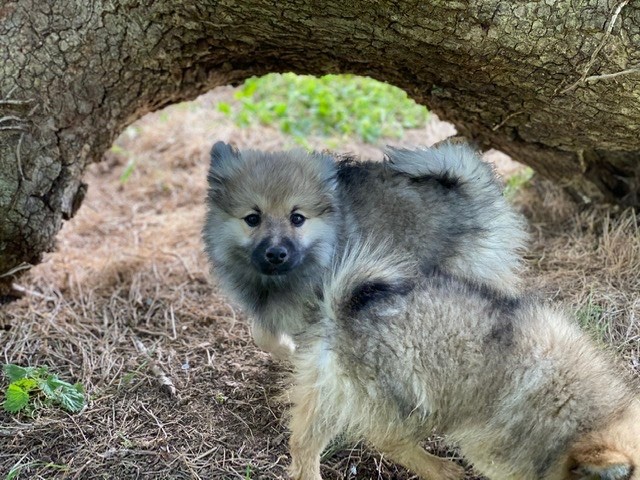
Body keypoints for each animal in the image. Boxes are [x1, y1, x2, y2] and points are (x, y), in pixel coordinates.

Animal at [202, 140, 528, 358]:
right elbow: (262, 333)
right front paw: (284, 350)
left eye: (297, 218)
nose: (276, 253)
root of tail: (462, 182)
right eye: (252, 219)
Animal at [288, 242, 640, 480]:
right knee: (387, 441)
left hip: (333, 389)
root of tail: (344, 308)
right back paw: (439, 468)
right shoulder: (494, 454)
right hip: (417, 398)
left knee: (302, 441)